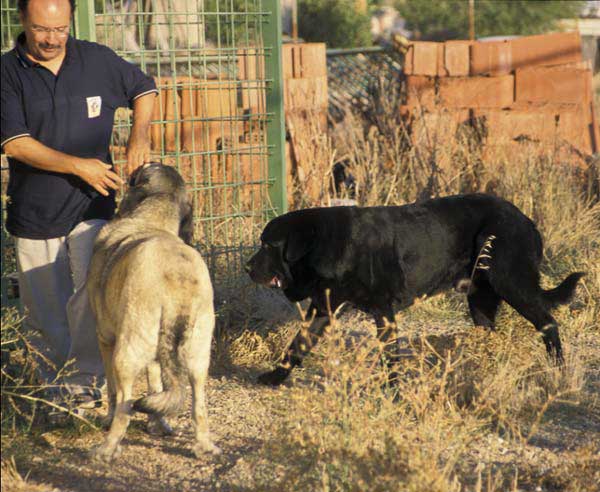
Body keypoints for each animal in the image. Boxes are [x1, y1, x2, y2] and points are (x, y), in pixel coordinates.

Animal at [246, 192, 584, 384]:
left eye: (268, 245)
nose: (248, 267)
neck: (329, 244)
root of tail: (526, 219)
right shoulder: (323, 308)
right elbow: (297, 344)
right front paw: (276, 377)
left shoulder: (383, 310)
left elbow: (389, 357)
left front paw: (392, 390)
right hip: (480, 301)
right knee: (491, 334)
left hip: (510, 282)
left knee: (548, 323)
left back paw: (558, 370)